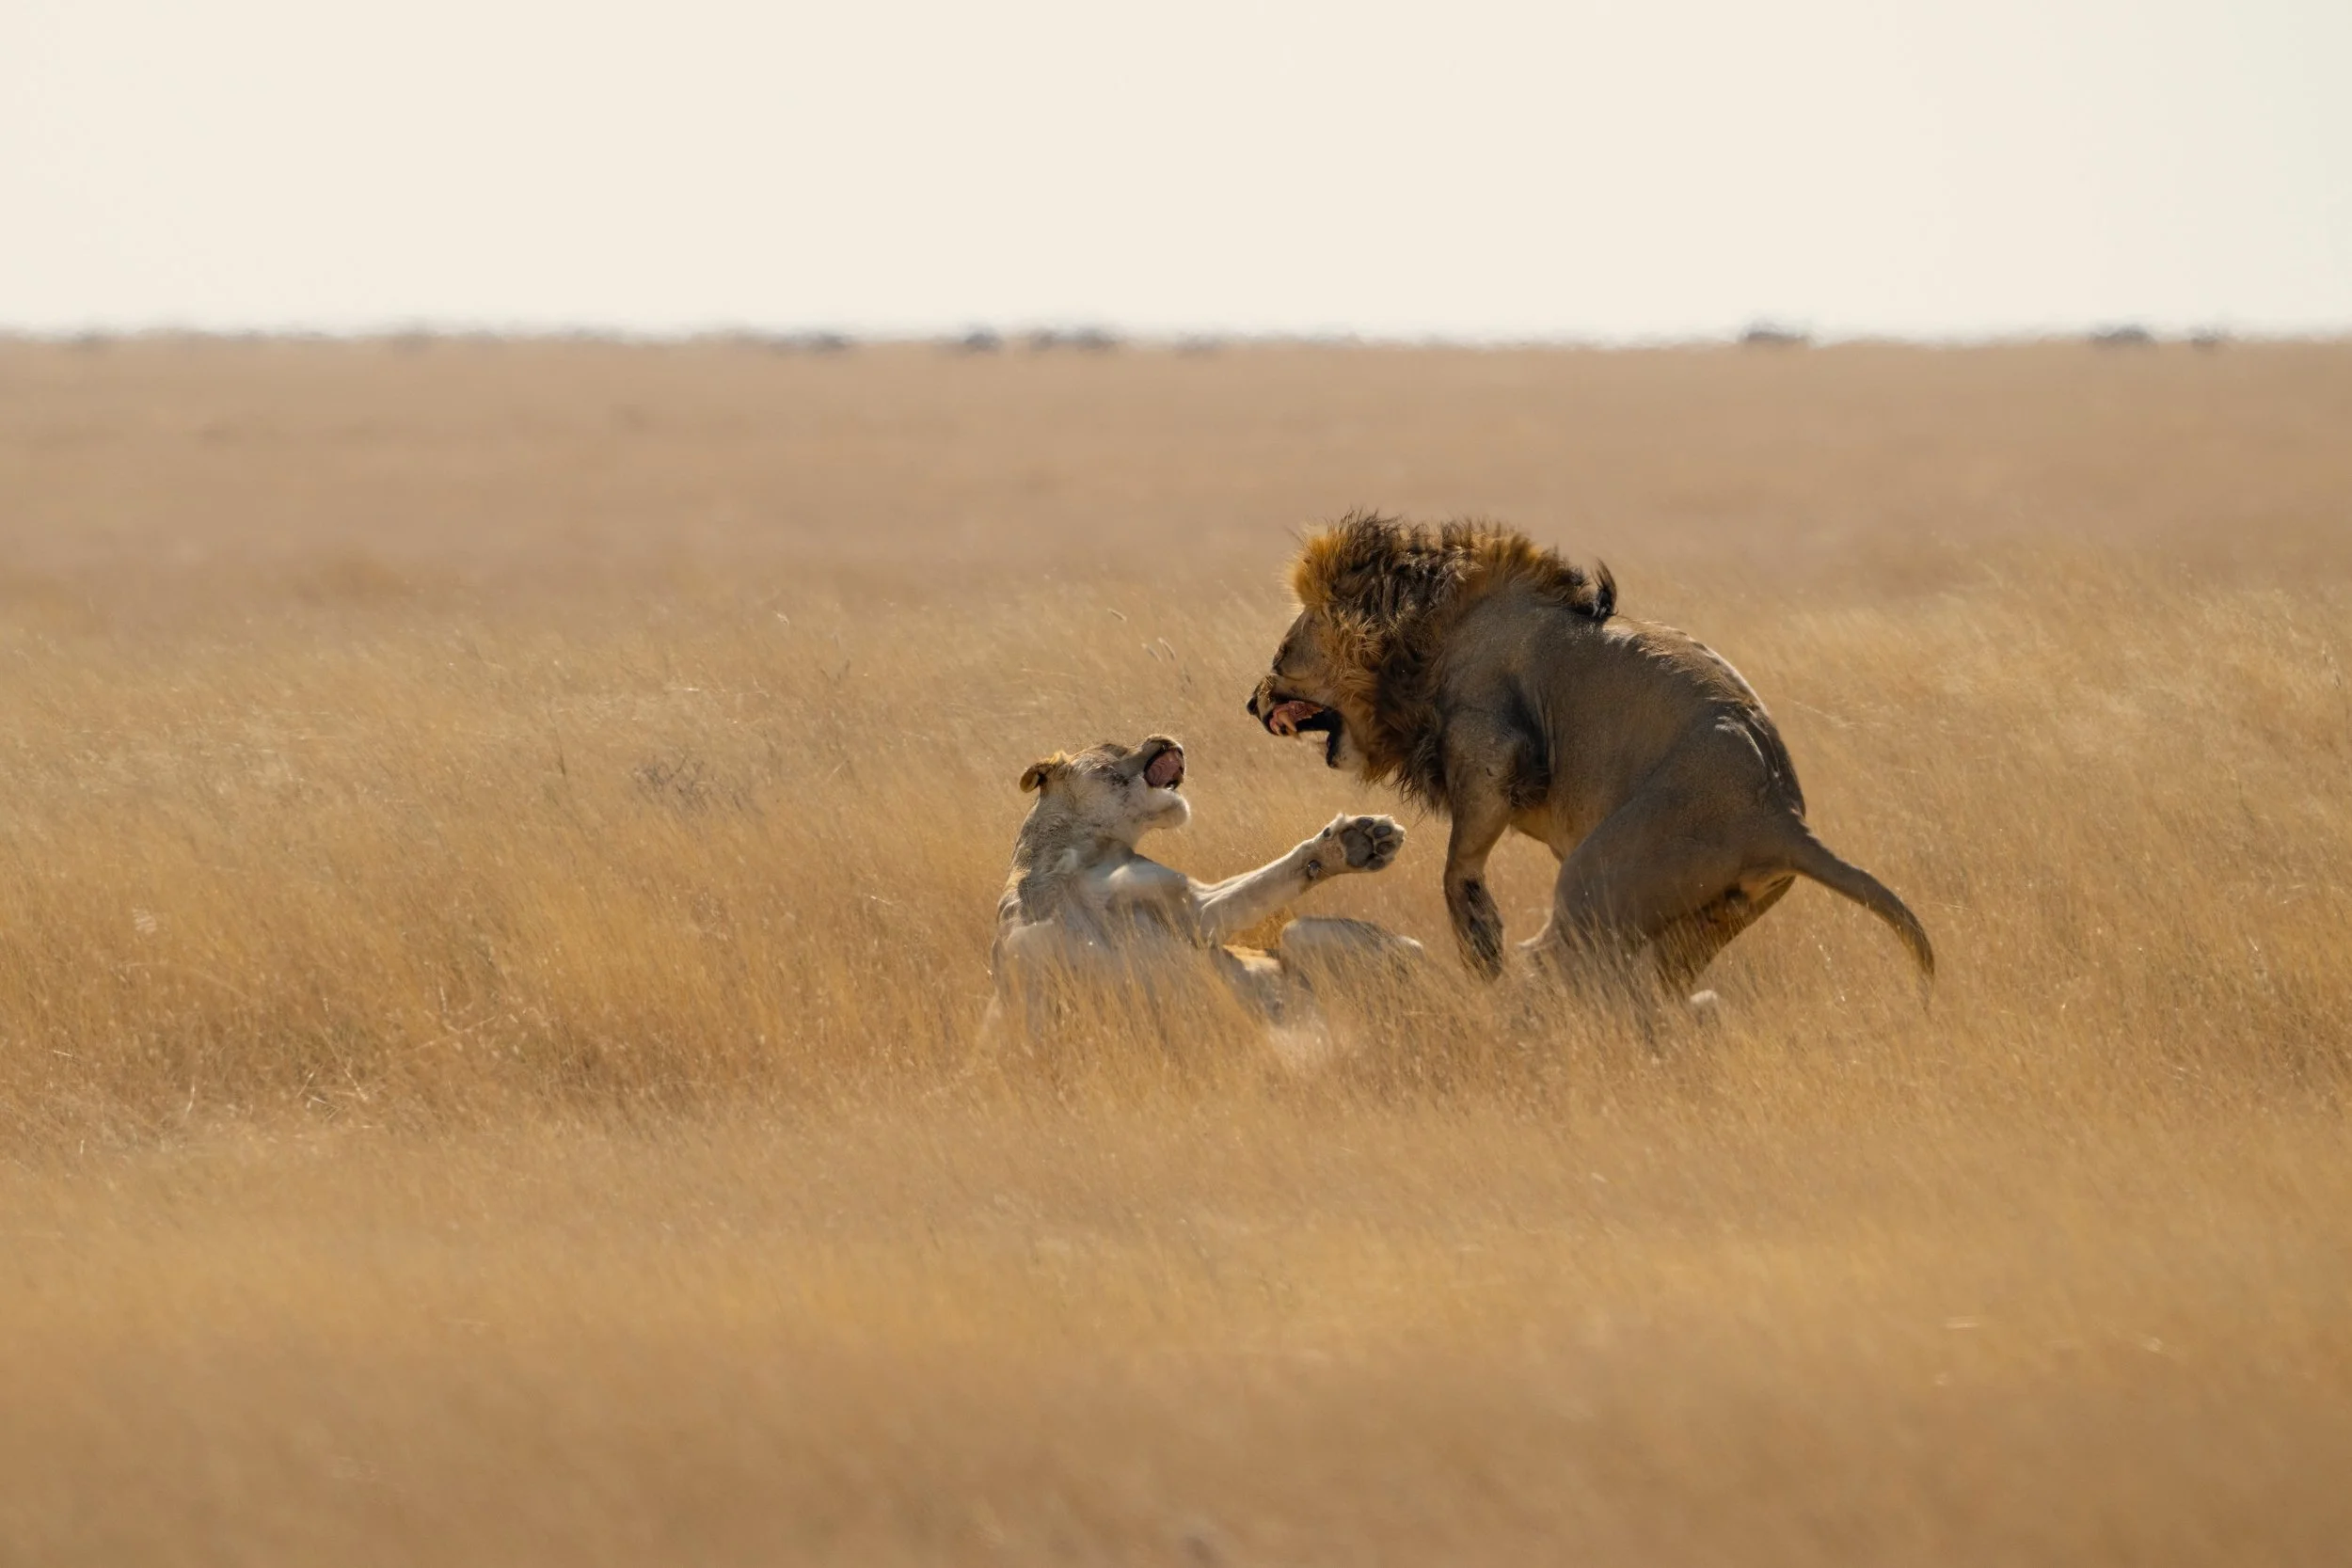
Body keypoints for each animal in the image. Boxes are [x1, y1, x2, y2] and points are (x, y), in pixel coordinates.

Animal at [985, 734, 1422, 1049]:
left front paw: (1350, 843)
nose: (1167, 737)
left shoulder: (1195, 912)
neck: (1075, 863)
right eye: (1113, 745)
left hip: (1299, 935)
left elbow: (1268, 880)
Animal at [1246, 513, 1933, 1004]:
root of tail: (1781, 818)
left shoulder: (1493, 745)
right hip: (1708, 916)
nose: (1251, 704)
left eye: (1283, 655)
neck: (1420, 638)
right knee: (1641, 992)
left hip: (1601, 874)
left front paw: (1479, 941)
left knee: (1573, 965)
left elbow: (1458, 859)